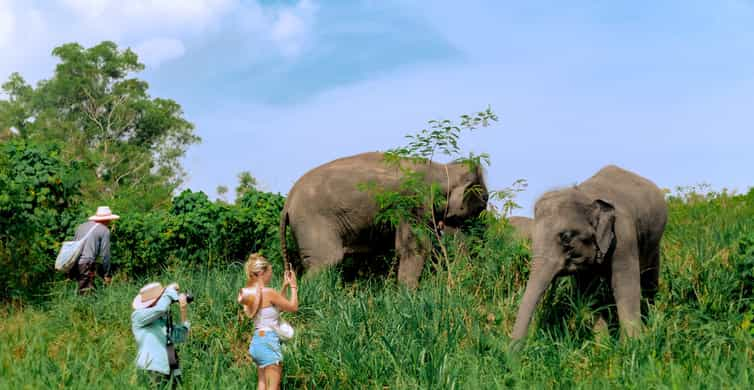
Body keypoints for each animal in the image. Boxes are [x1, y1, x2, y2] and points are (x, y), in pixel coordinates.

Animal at [278, 152, 488, 286]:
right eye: (481, 205)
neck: (443, 168)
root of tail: (288, 202)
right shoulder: (413, 202)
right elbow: (415, 247)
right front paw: (408, 296)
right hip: (313, 222)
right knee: (326, 261)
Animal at [512, 165, 664, 342]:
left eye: (566, 237)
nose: (510, 352)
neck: (586, 195)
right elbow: (588, 294)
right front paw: (602, 344)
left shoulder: (624, 237)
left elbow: (625, 287)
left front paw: (632, 344)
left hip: (654, 243)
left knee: (649, 280)